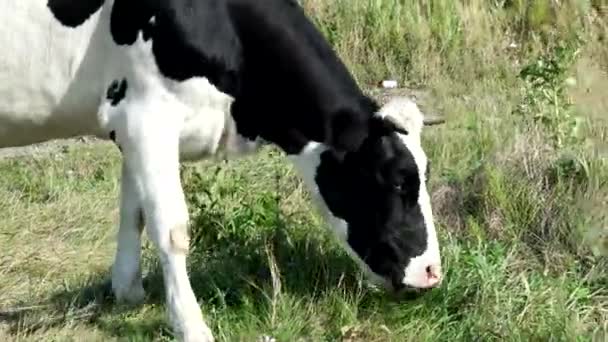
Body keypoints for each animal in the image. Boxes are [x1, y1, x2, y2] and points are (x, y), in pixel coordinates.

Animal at [0, 0, 446, 342]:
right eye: (398, 179)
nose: (432, 273)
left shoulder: (131, 127)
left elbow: (134, 212)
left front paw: (128, 292)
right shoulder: (148, 116)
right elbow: (172, 230)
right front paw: (191, 326)